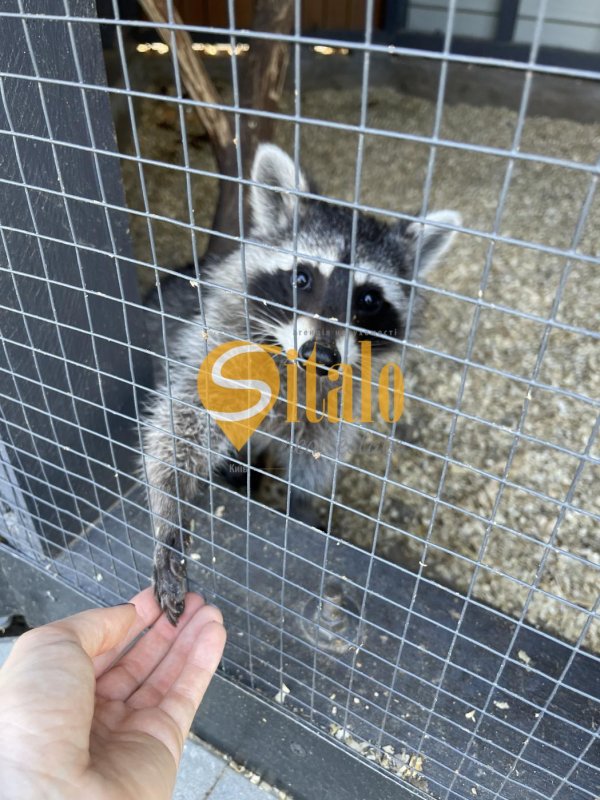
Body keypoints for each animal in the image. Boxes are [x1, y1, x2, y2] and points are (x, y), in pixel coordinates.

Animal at [142, 143, 460, 624]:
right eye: (302, 278)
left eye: (368, 299)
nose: (322, 356)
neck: (298, 369)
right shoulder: (217, 345)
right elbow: (181, 425)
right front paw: (168, 514)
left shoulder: (341, 397)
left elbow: (315, 458)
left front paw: (301, 506)